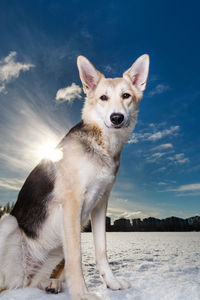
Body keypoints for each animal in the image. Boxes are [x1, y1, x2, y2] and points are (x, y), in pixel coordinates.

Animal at [0, 54, 148, 300]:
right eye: (103, 98)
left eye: (126, 96)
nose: (116, 118)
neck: (102, 144)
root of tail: (20, 279)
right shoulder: (72, 202)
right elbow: (76, 258)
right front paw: (81, 294)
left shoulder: (100, 204)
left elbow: (101, 250)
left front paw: (112, 283)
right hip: (8, 222)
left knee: (36, 282)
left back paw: (50, 284)